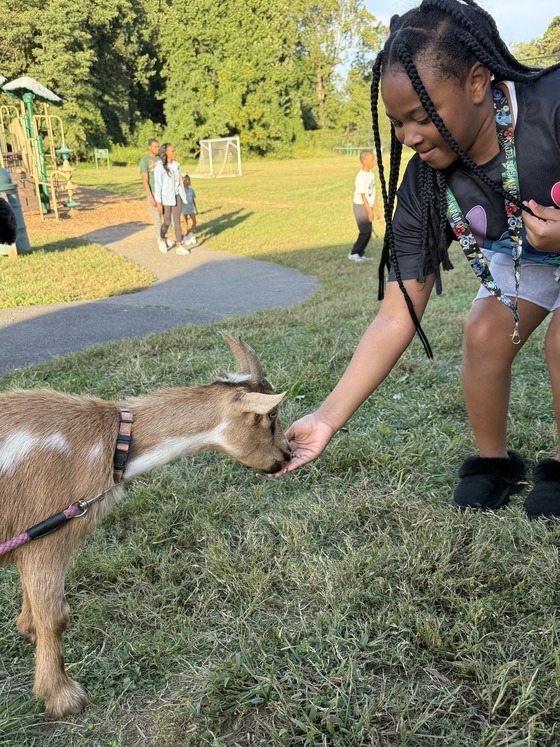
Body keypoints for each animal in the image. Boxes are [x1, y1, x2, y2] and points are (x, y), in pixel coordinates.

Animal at [0, 334, 291, 718]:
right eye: (270, 417)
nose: (286, 455)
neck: (110, 444)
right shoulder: (48, 531)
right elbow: (56, 615)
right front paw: (62, 697)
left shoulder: (31, 532)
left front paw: (26, 628)